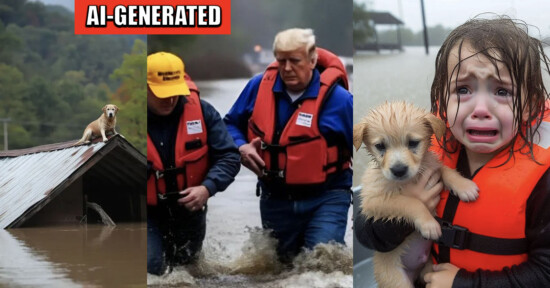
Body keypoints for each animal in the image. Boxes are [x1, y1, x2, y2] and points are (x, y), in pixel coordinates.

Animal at [356, 101, 480, 288]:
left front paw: (464, 186)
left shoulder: (430, 165)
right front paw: (429, 224)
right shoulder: (373, 201)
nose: (399, 170)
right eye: (380, 146)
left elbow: (445, 169)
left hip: (427, 270)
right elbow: (410, 202)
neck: (409, 180)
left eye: (413, 143)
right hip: (397, 281)